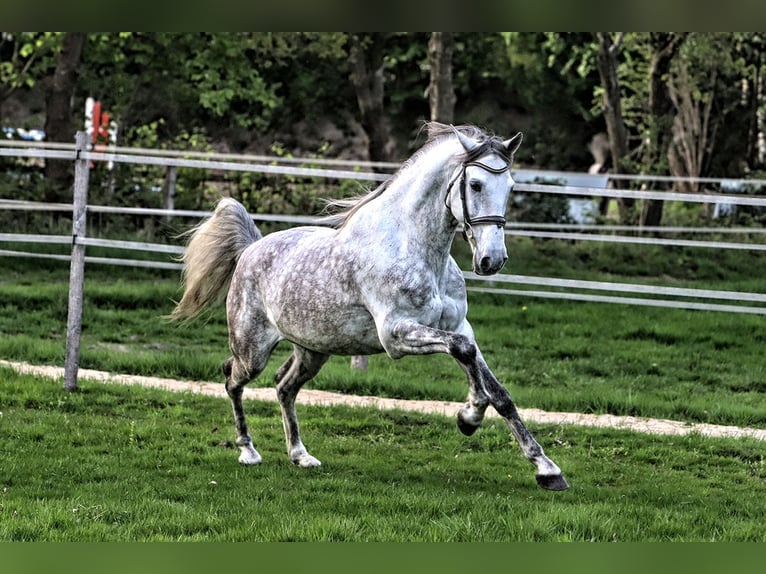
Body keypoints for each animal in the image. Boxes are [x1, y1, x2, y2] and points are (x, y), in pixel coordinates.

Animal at [171, 122, 569, 491]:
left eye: (511, 187)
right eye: (475, 185)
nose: (492, 260)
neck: (417, 251)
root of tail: (251, 249)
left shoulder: (458, 327)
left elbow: (496, 390)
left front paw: (546, 468)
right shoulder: (397, 335)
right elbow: (464, 353)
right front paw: (468, 418)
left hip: (313, 351)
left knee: (284, 387)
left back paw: (301, 455)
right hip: (252, 349)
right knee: (231, 378)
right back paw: (248, 451)